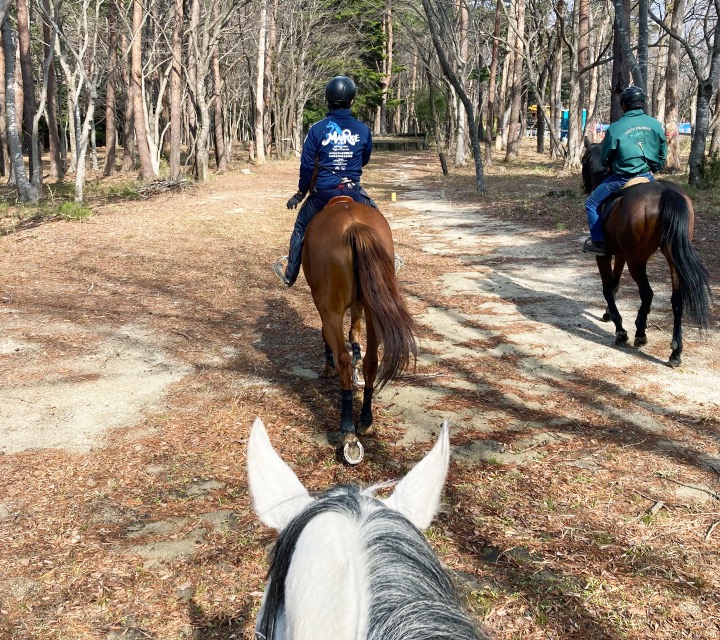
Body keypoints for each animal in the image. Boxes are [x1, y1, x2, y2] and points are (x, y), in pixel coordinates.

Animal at [302, 196, 416, 464]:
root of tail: (353, 226)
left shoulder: (324, 306)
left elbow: (328, 335)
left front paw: (328, 367)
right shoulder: (359, 303)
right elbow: (355, 331)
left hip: (332, 308)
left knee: (343, 358)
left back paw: (348, 431)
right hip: (375, 307)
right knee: (372, 360)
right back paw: (365, 420)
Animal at [580, 142, 708, 368]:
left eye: (583, 160)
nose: (583, 185)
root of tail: (666, 193)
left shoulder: (604, 255)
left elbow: (607, 287)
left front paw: (620, 330)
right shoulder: (620, 254)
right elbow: (615, 284)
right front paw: (608, 314)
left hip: (637, 260)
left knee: (647, 293)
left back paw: (639, 332)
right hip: (672, 257)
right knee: (677, 299)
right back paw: (675, 352)